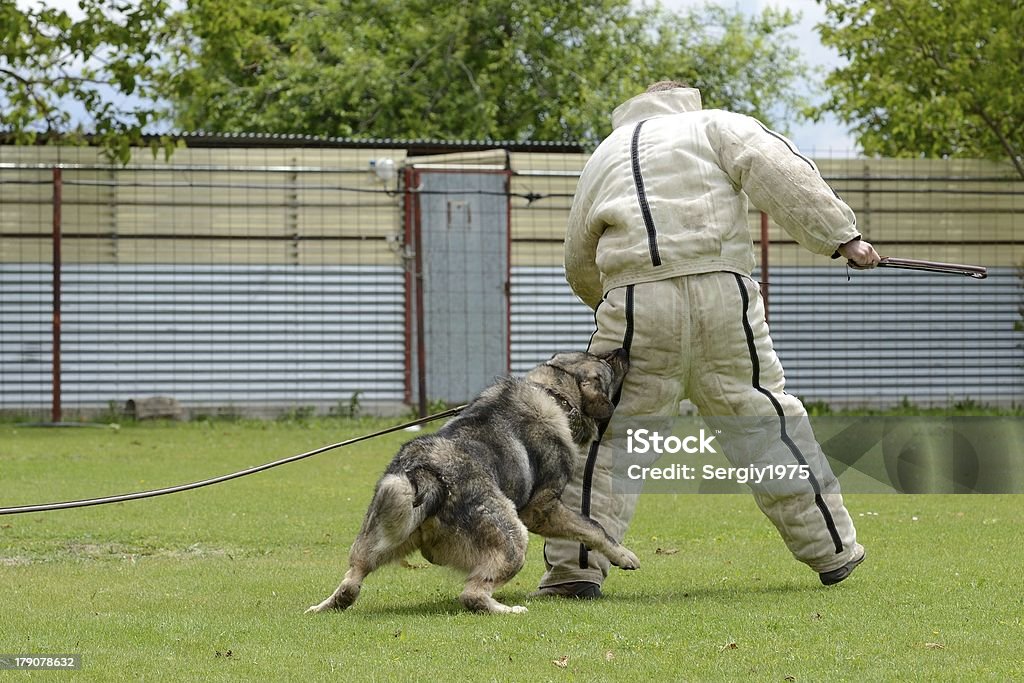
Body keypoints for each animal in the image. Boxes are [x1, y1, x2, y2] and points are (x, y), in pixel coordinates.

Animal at [305, 350, 638, 618]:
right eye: (606, 364)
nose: (622, 350)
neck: (554, 392)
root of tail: (428, 474)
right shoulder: (543, 510)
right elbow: (593, 527)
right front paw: (623, 555)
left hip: (380, 533)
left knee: (351, 582)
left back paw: (322, 607)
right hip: (514, 537)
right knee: (472, 595)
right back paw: (509, 610)